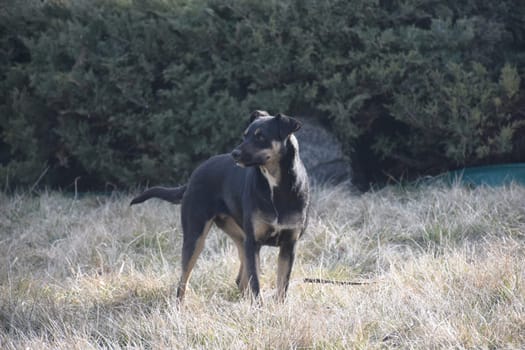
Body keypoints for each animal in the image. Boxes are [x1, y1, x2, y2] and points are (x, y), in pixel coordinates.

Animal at [130, 110, 308, 302]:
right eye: (245, 135)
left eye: (261, 136)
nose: (234, 153)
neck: (275, 186)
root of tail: (194, 176)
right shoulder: (253, 243)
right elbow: (255, 284)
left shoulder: (288, 245)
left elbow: (282, 285)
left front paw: (277, 307)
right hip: (196, 236)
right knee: (183, 281)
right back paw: (180, 305)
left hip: (239, 236)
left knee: (240, 280)